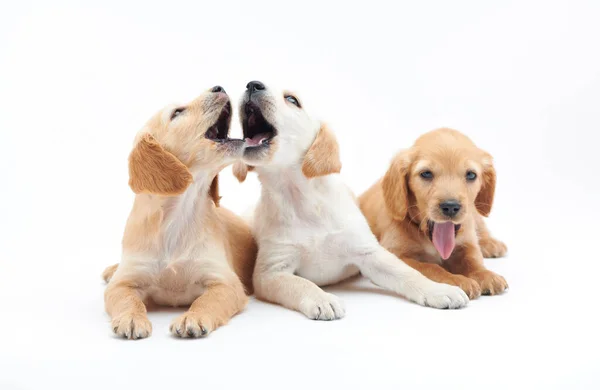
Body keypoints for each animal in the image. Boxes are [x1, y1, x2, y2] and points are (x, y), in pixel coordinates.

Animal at [101, 86, 255, 338]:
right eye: (177, 112)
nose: (219, 87)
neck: (179, 215)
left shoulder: (226, 282)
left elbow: (207, 301)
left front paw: (193, 317)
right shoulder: (123, 283)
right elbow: (127, 299)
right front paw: (131, 318)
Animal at [232, 80, 472, 320]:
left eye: (292, 100)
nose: (252, 85)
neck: (300, 198)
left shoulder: (369, 253)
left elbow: (408, 273)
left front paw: (438, 289)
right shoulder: (271, 271)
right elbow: (301, 284)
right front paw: (322, 299)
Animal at [358, 128, 508, 298]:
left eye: (471, 175)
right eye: (426, 174)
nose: (450, 206)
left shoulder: (466, 241)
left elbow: (472, 259)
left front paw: (484, 274)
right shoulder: (396, 254)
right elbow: (431, 267)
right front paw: (456, 280)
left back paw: (491, 243)